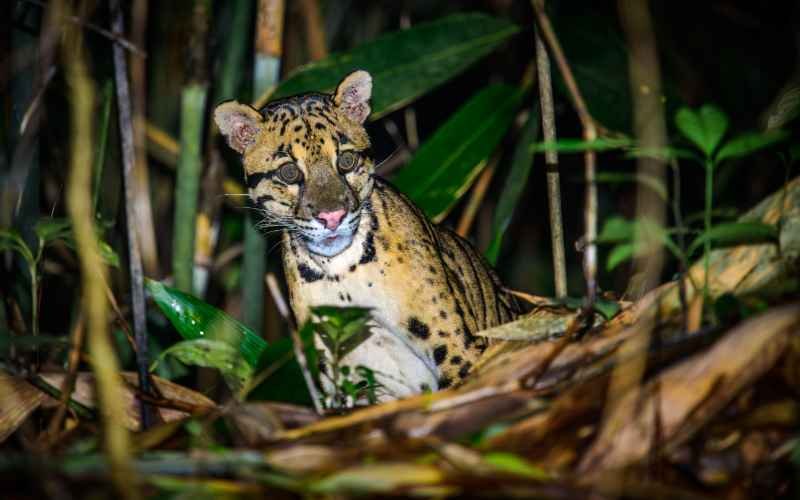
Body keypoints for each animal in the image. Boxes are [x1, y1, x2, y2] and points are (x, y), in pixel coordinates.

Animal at [216, 72, 520, 404]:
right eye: (288, 173)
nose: (332, 216)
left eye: (346, 161)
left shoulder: (457, 349)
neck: (341, 272)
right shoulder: (347, 377)